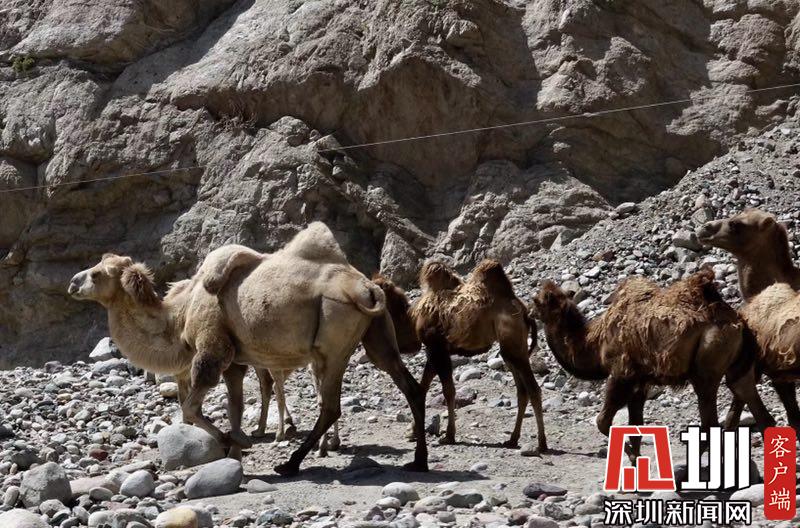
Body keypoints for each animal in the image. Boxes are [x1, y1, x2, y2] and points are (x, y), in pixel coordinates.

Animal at [68, 223, 428, 475]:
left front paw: (234, 441)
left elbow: (191, 408)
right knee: (407, 385)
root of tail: (366, 287)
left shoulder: (211, 348)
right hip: (376, 335)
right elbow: (235, 407)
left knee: (330, 405)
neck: (180, 314)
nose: (72, 283)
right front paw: (236, 450)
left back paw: (290, 464)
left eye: (97, 274)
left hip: (333, 337)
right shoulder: (235, 360)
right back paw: (419, 461)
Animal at [409, 260, 547, 452]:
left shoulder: (436, 347)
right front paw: (414, 432)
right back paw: (512, 439)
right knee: (522, 391)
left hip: (513, 347)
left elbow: (448, 391)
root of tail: (526, 313)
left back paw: (541, 444)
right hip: (511, 351)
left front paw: (449, 436)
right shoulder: (435, 350)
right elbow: (424, 388)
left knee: (533, 389)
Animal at [531, 269, 774, 458]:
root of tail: (738, 322)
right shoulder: (641, 381)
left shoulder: (621, 373)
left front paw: (630, 454)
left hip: (707, 362)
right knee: (748, 398)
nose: (530, 312)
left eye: (538, 301)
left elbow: (603, 421)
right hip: (738, 365)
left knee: (710, 421)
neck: (595, 343)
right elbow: (636, 426)